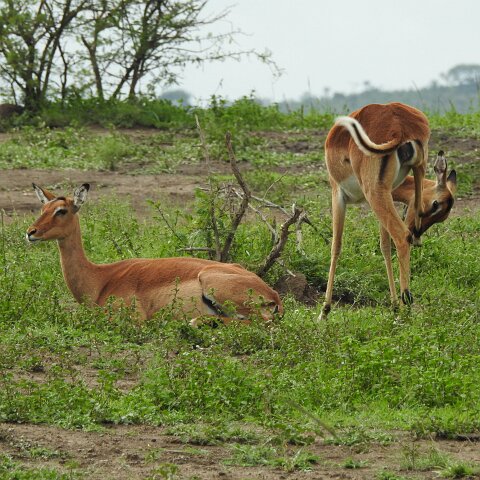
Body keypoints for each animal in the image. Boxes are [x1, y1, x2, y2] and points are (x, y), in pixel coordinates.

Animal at [26, 183, 283, 325]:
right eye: (43, 208)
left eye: (61, 210)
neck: (100, 279)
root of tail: (274, 295)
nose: (30, 232)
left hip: (215, 286)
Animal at [320, 102, 456, 319]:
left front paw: (324, 311)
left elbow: (336, 246)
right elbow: (384, 246)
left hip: (374, 193)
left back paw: (406, 304)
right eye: (436, 206)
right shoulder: (390, 194)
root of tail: (399, 126)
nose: (418, 236)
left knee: (401, 236)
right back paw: (401, 305)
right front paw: (393, 305)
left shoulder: (338, 194)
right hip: (413, 173)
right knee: (398, 239)